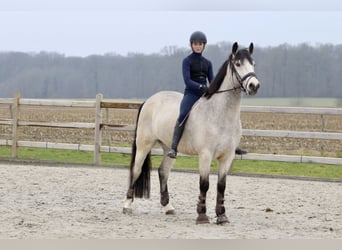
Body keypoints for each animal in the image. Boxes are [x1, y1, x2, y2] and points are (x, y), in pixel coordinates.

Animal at [122, 42, 260, 224]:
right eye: (238, 64)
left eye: (253, 63)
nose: (254, 86)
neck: (220, 114)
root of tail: (149, 100)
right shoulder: (206, 155)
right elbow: (204, 184)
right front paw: (202, 215)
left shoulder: (227, 156)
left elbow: (221, 186)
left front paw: (222, 215)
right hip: (144, 145)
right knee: (136, 170)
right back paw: (127, 205)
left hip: (169, 148)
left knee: (163, 171)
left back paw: (168, 207)